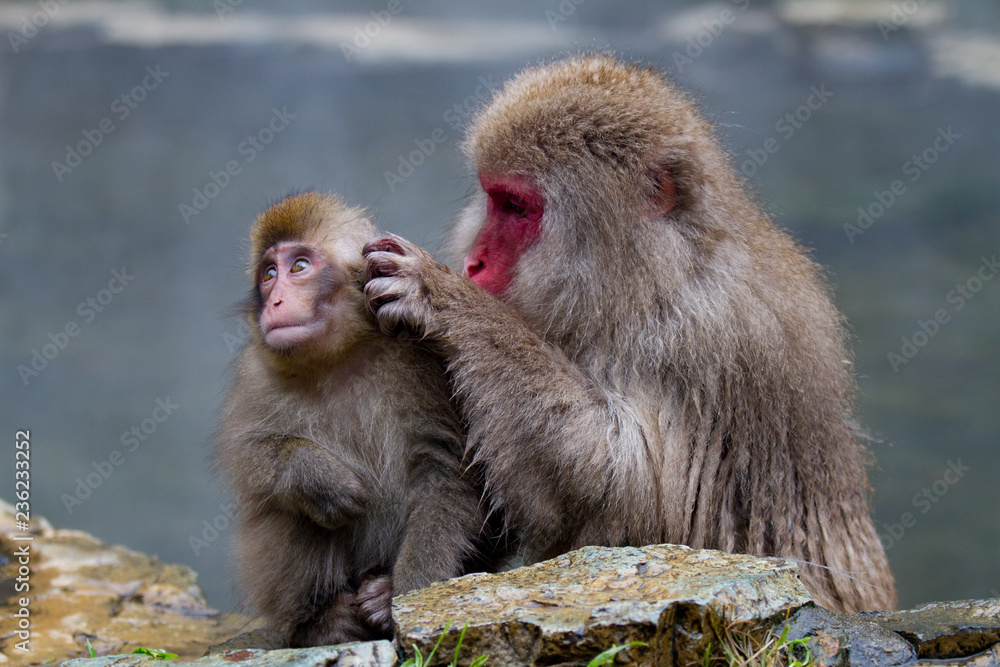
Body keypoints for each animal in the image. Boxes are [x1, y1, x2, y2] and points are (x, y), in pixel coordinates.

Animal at [215, 192, 485, 647]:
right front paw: (316, 476)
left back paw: (375, 599)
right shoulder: (256, 372)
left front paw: (405, 600)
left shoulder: (416, 356)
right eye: (268, 274)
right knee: (290, 509)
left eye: (298, 267)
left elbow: (444, 469)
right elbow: (247, 459)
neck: (337, 358)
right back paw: (321, 623)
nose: (275, 301)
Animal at [361, 55, 897, 613]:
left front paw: (448, 302)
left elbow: (633, 502)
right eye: (493, 199)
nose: (473, 263)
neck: (646, 278)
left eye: (516, 207)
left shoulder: (706, 338)